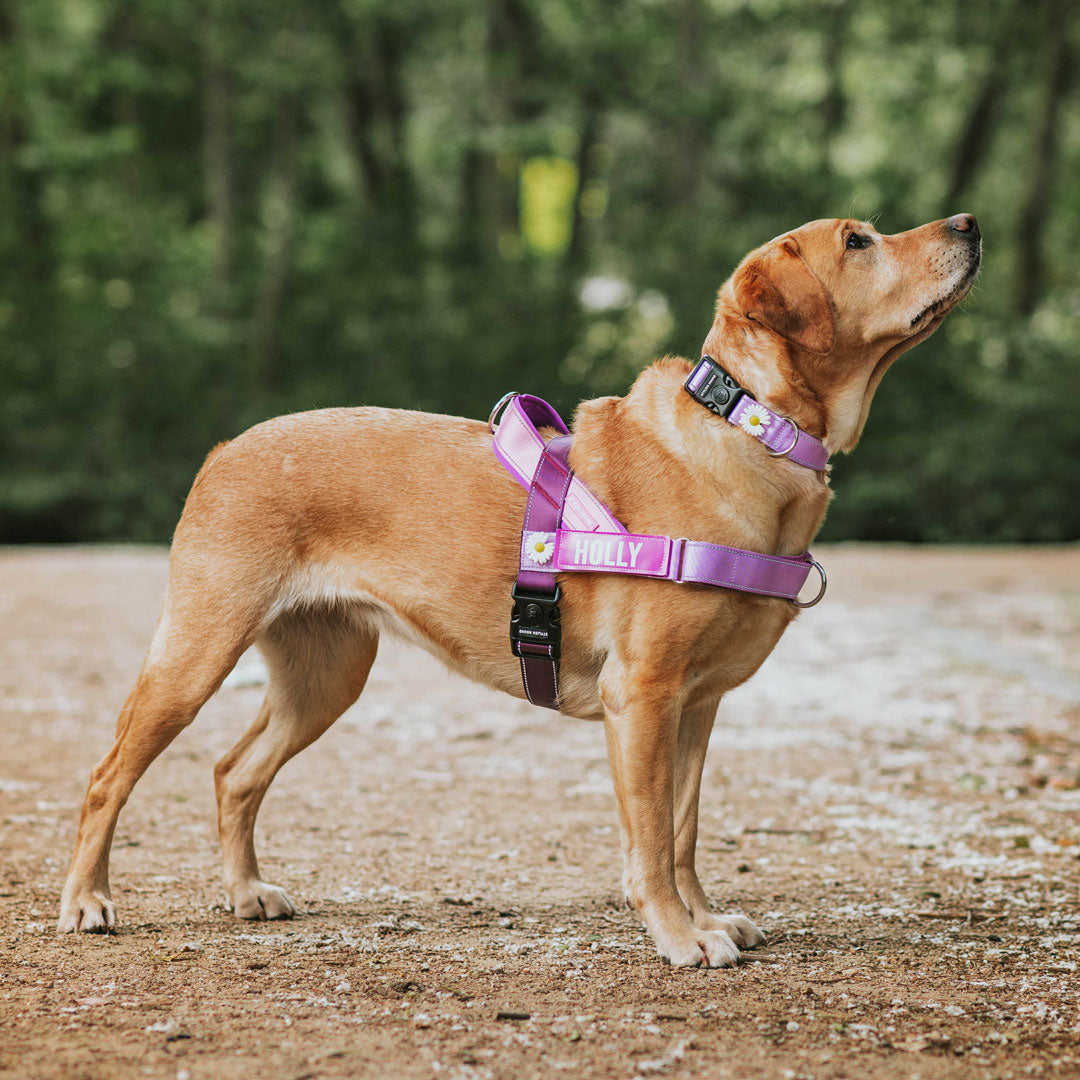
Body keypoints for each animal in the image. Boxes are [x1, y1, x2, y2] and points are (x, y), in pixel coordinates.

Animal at [61, 214, 989, 967]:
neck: (751, 429)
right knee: (108, 776)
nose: (971, 223)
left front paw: (704, 916)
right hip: (195, 654)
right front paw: (678, 935)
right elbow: (653, 838)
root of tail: (226, 448)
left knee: (234, 772)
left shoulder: (697, 705)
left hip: (326, 676)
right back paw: (88, 900)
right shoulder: (642, 695)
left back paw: (244, 892)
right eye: (859, 241)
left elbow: (684, 830)